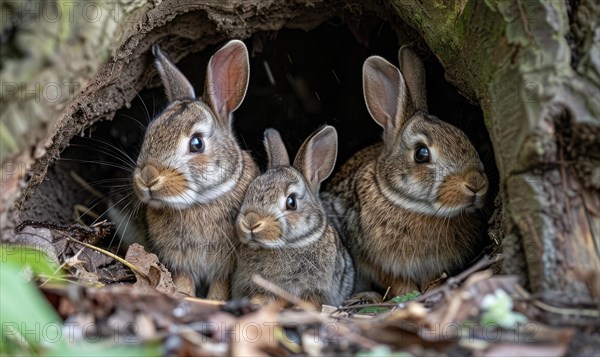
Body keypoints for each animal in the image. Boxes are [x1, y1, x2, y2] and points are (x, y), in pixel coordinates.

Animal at [132, 40, 258, 298]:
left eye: (197, 143)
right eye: (149, 133)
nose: (148, 178)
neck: (200, 202)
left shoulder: (225, 266)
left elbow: (220, 287)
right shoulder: (181, 262)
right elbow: (183, 283)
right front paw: (183, 296)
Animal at [324, 48, 488, 298]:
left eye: (463, 137)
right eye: (421, 154)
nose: (476, 183)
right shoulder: (376, 261)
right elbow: (396, 282)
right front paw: (409, 294)